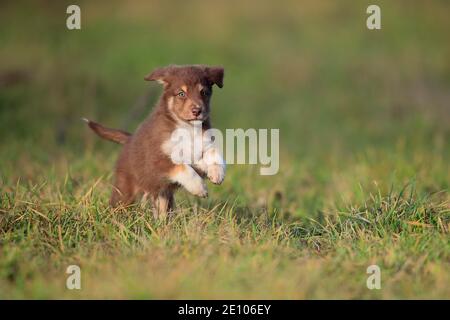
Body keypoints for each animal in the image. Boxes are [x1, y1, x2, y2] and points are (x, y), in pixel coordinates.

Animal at [83, 64, 225, 218]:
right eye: (181, 94)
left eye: (204, 92)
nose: (197, 111)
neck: (187, 127)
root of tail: (129, 139)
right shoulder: (157, 160)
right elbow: (182, 167)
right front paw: (199, 188)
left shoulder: (203, 146)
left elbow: (214, 153)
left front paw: (217, 173)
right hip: (127, 188)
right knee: (118, 203)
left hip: (162, 193)